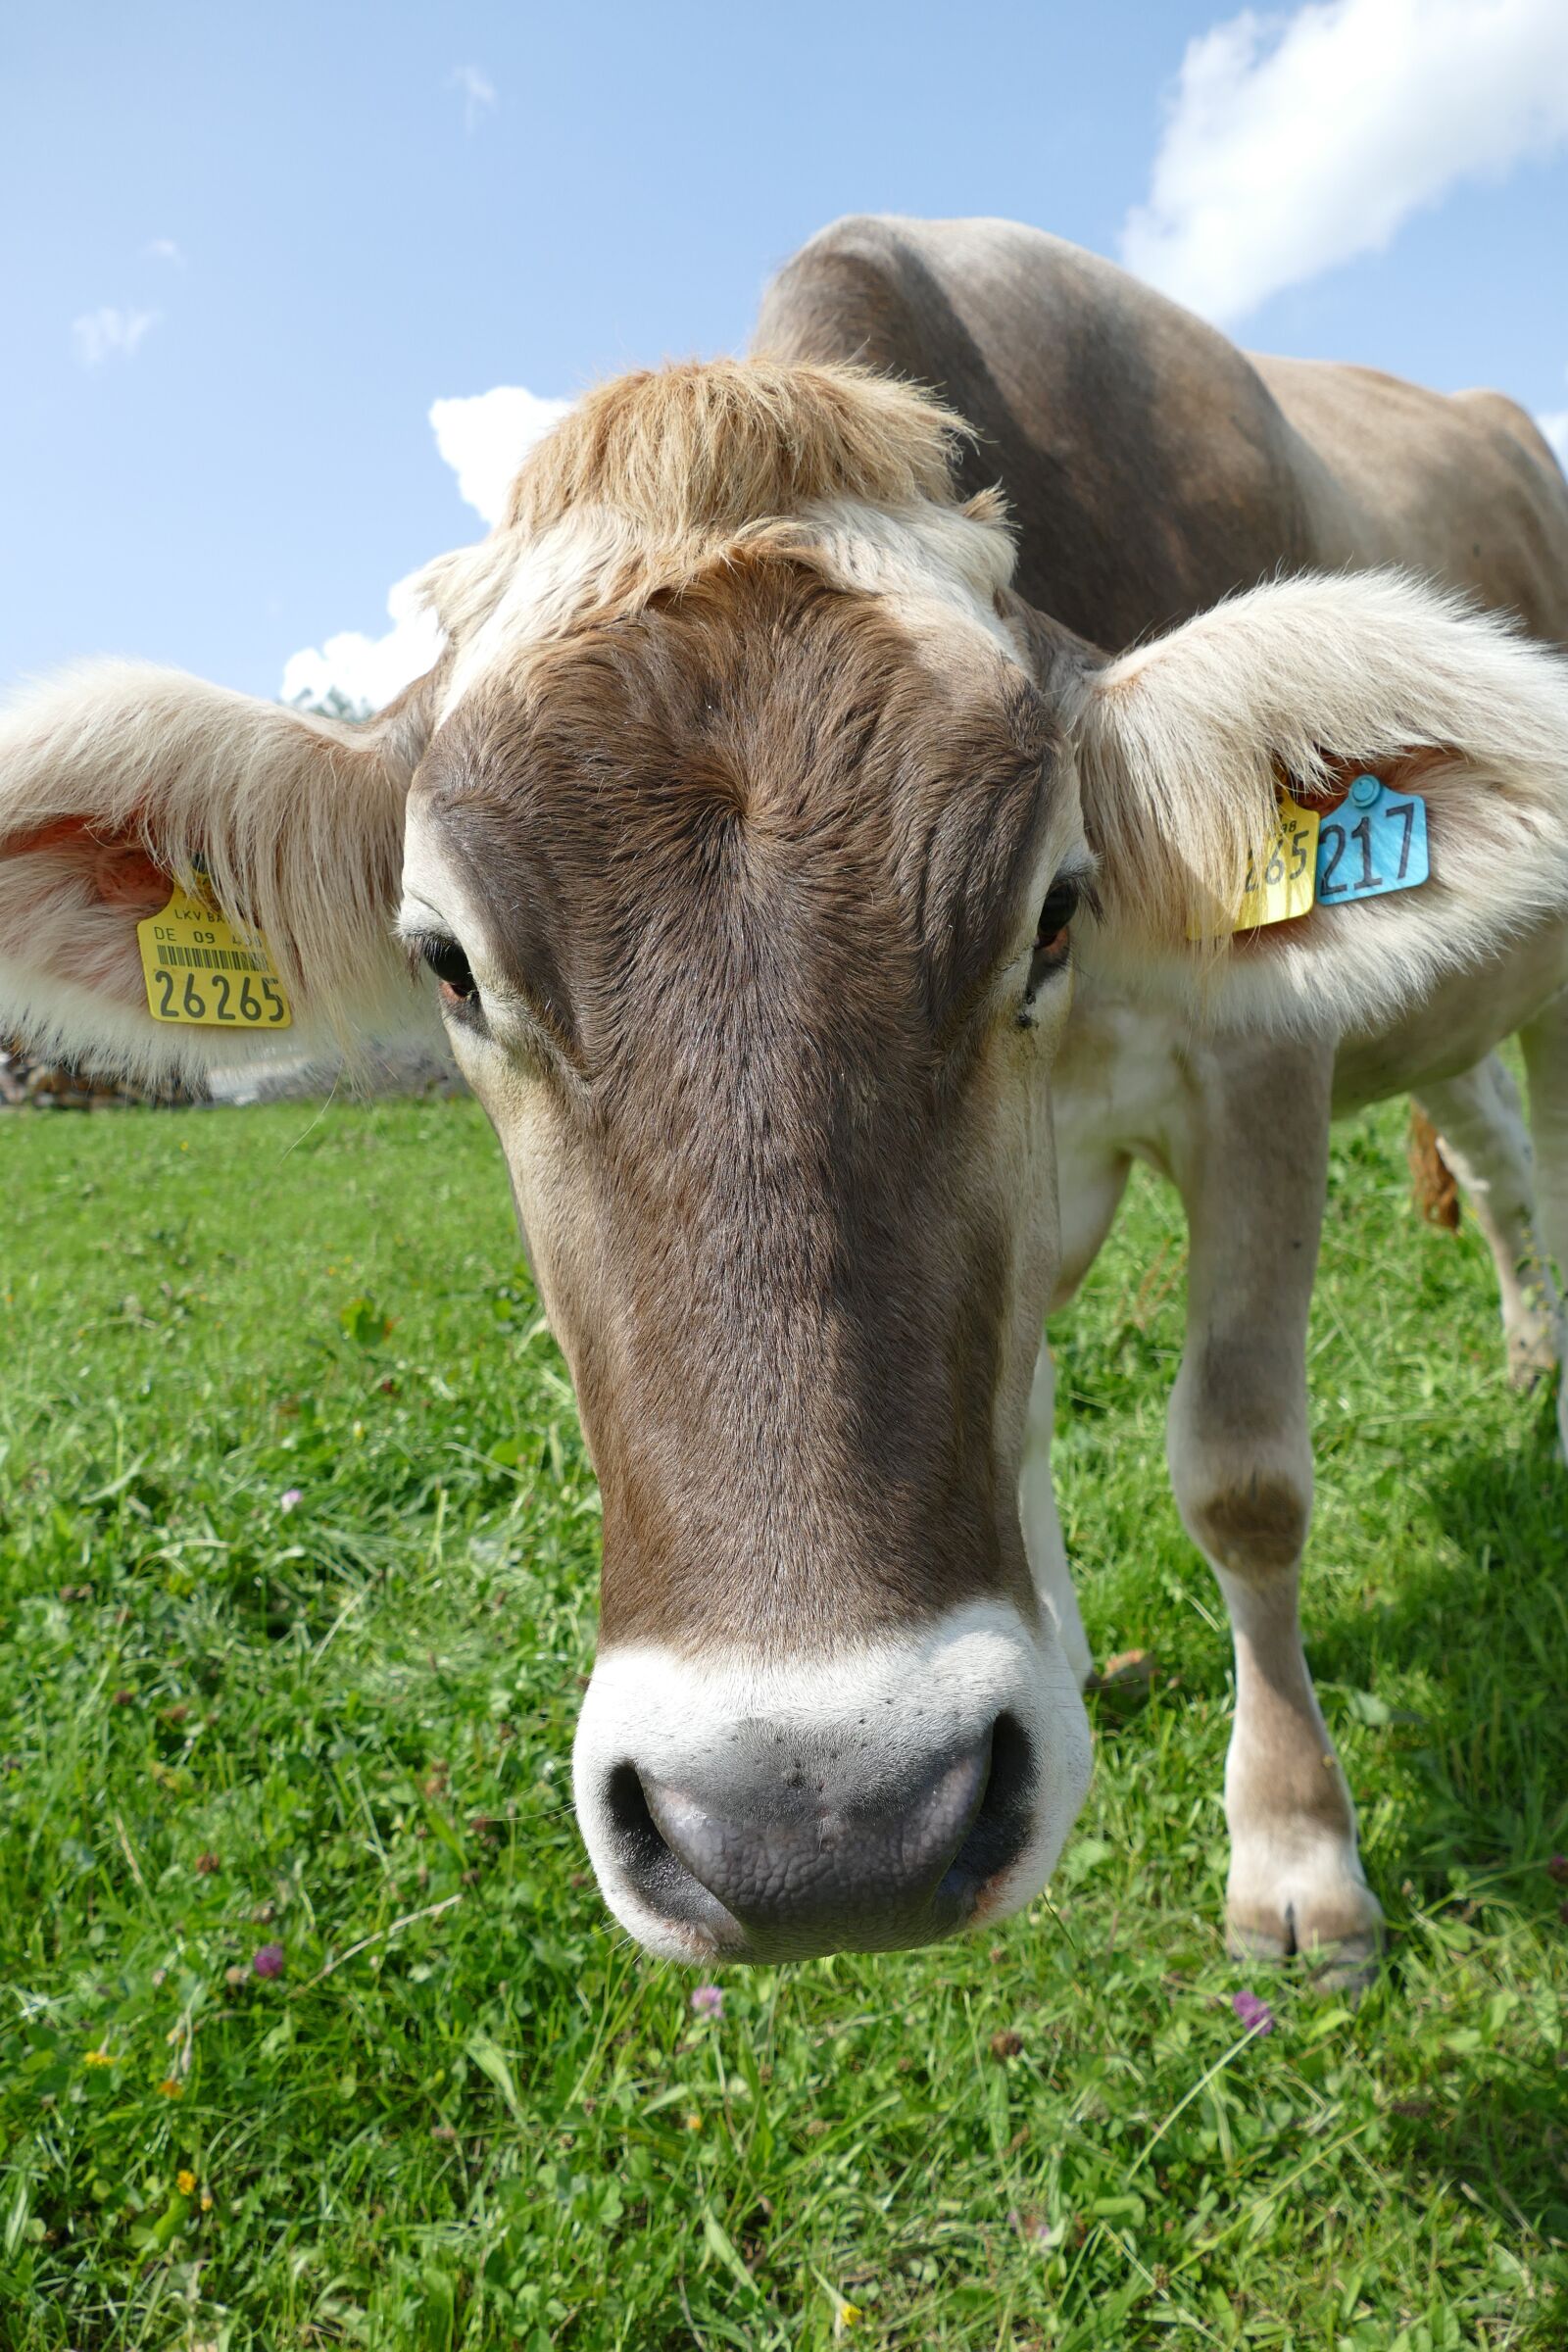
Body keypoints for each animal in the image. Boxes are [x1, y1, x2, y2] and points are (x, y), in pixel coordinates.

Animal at [3, 215, 1567, 1981]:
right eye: (447, 963)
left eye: (1055, 907)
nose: (821, 1825)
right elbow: (1020, 1410)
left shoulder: (1259, 1072)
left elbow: (1242, 1477)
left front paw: (1298, 1861)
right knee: (1494, 1163)